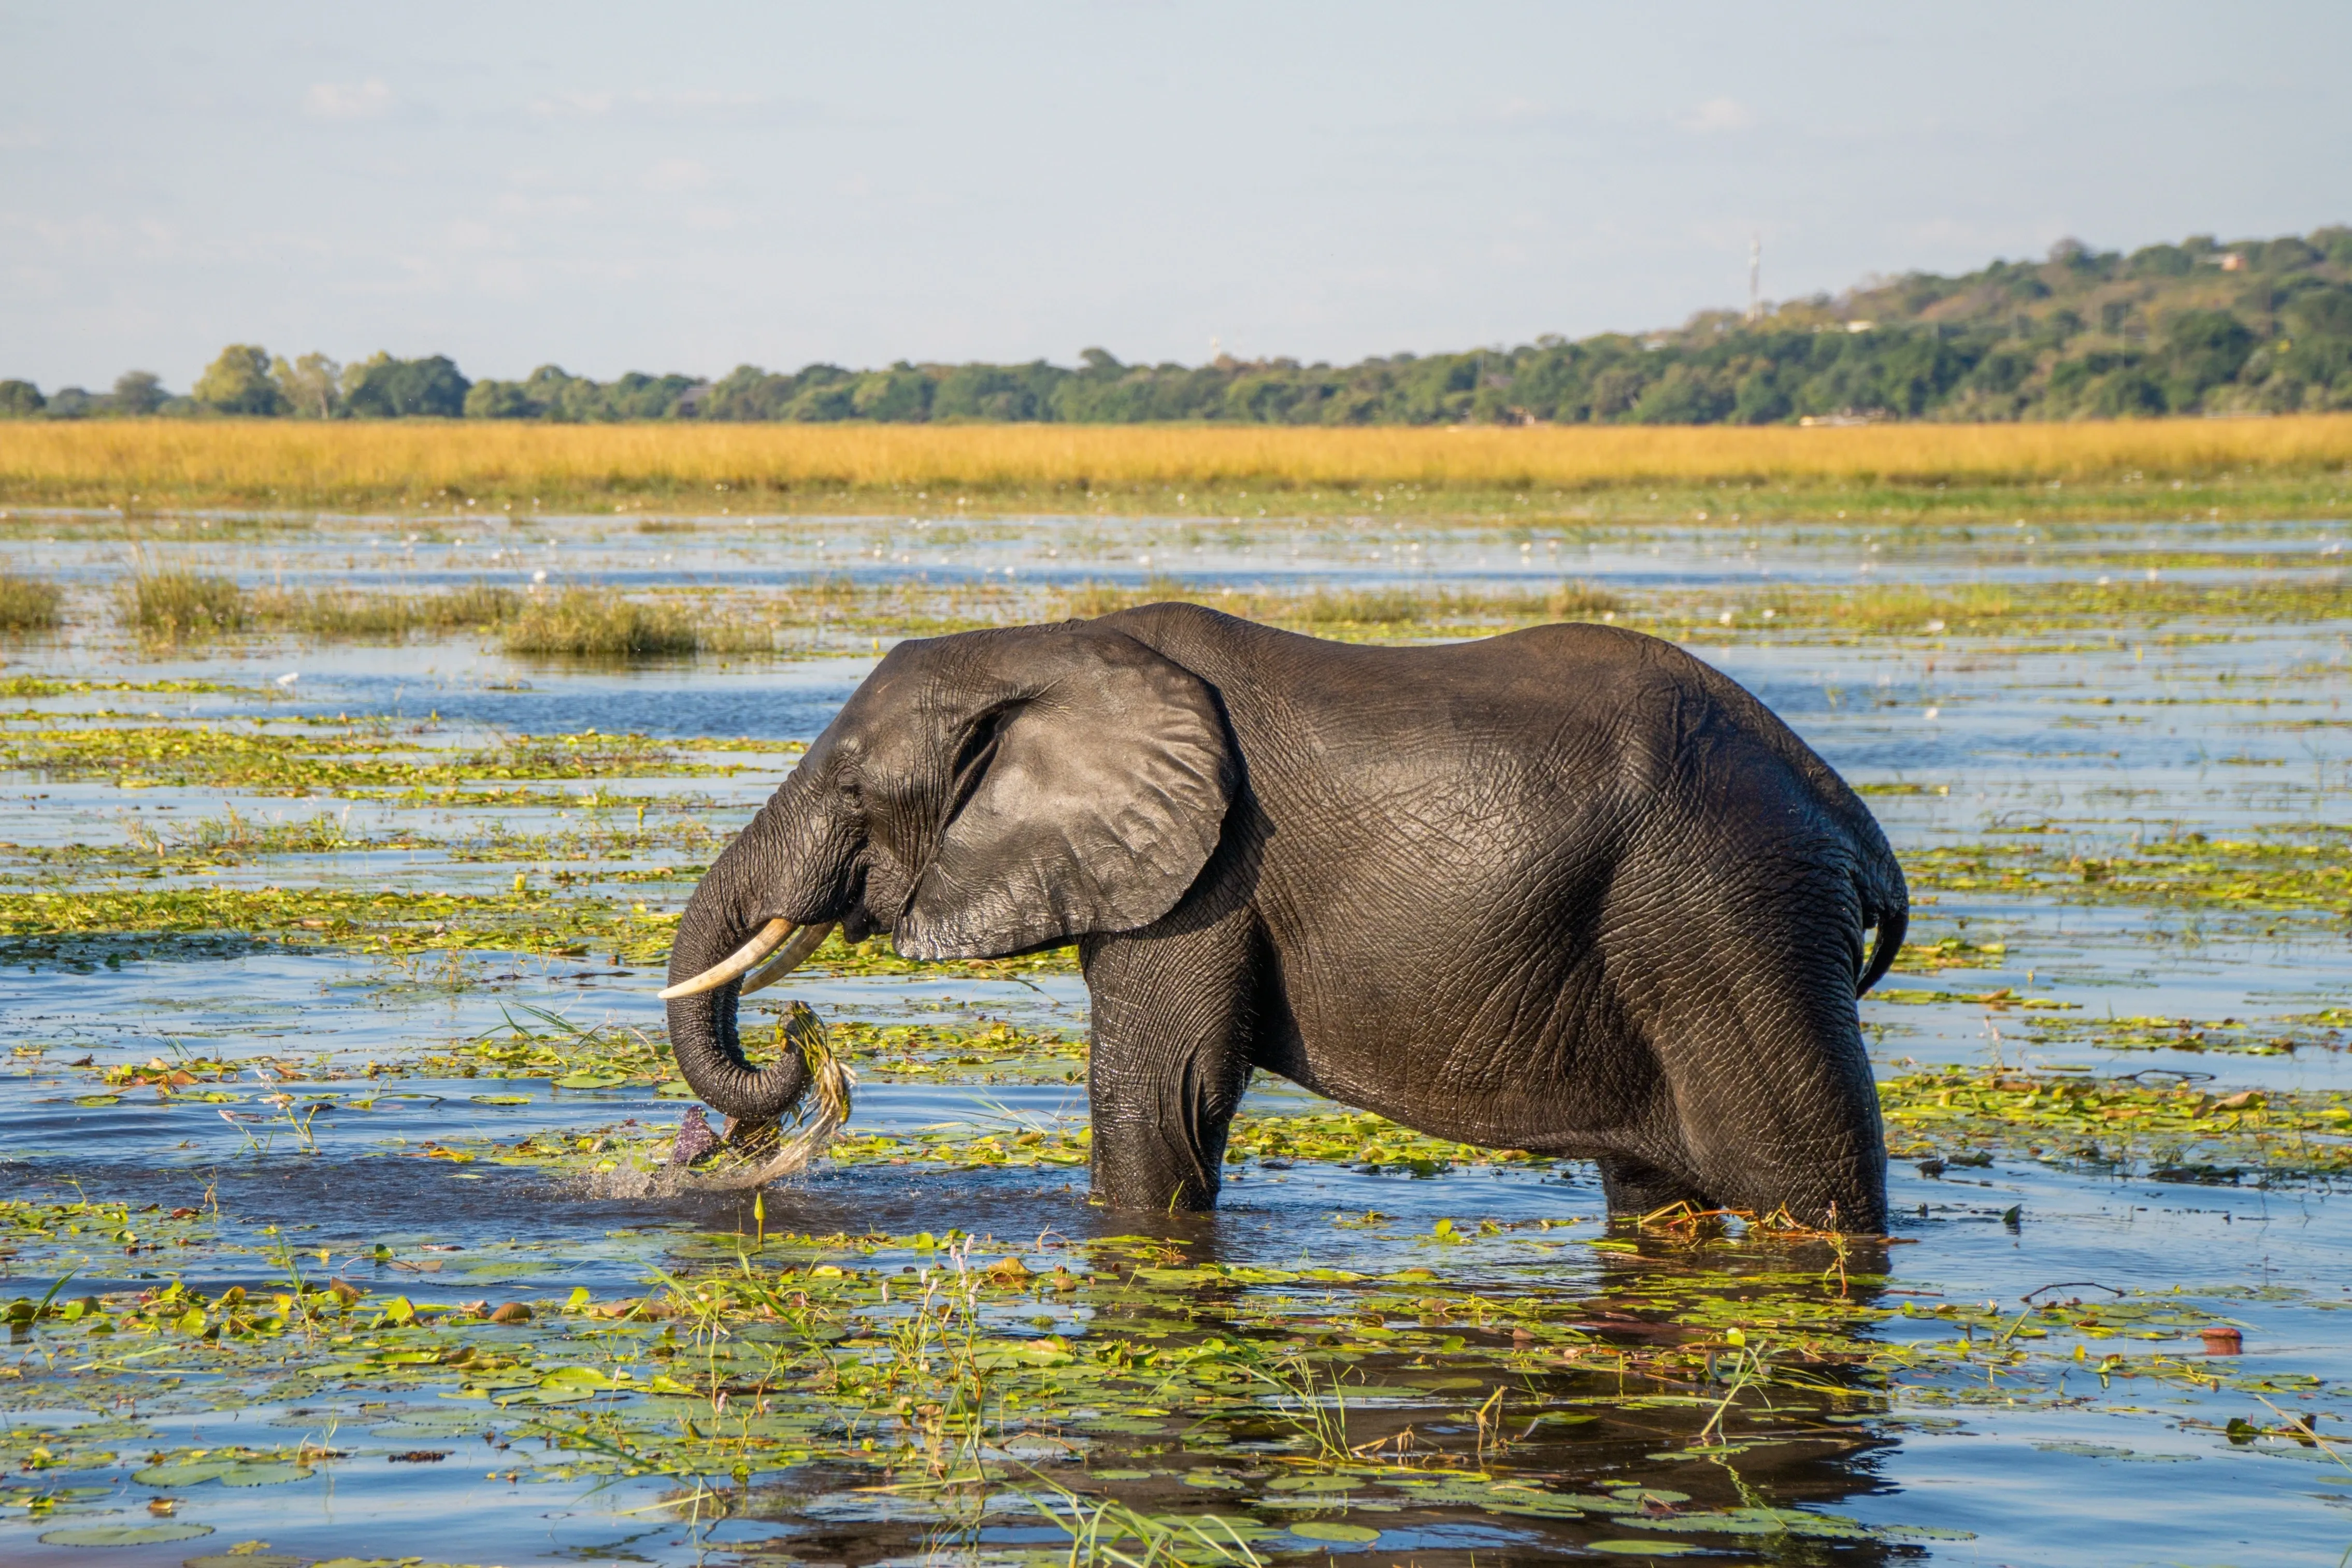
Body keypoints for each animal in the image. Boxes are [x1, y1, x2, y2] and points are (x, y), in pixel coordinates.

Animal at [661, 602, 1907, 1231]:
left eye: (851, 792)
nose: (799, 1046)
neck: (1043, 641)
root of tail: (1849, 818)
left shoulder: (1212, 872)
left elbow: (1158, 1090)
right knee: (1655, 1198)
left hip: (1733, 919)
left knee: (1807, 1182)